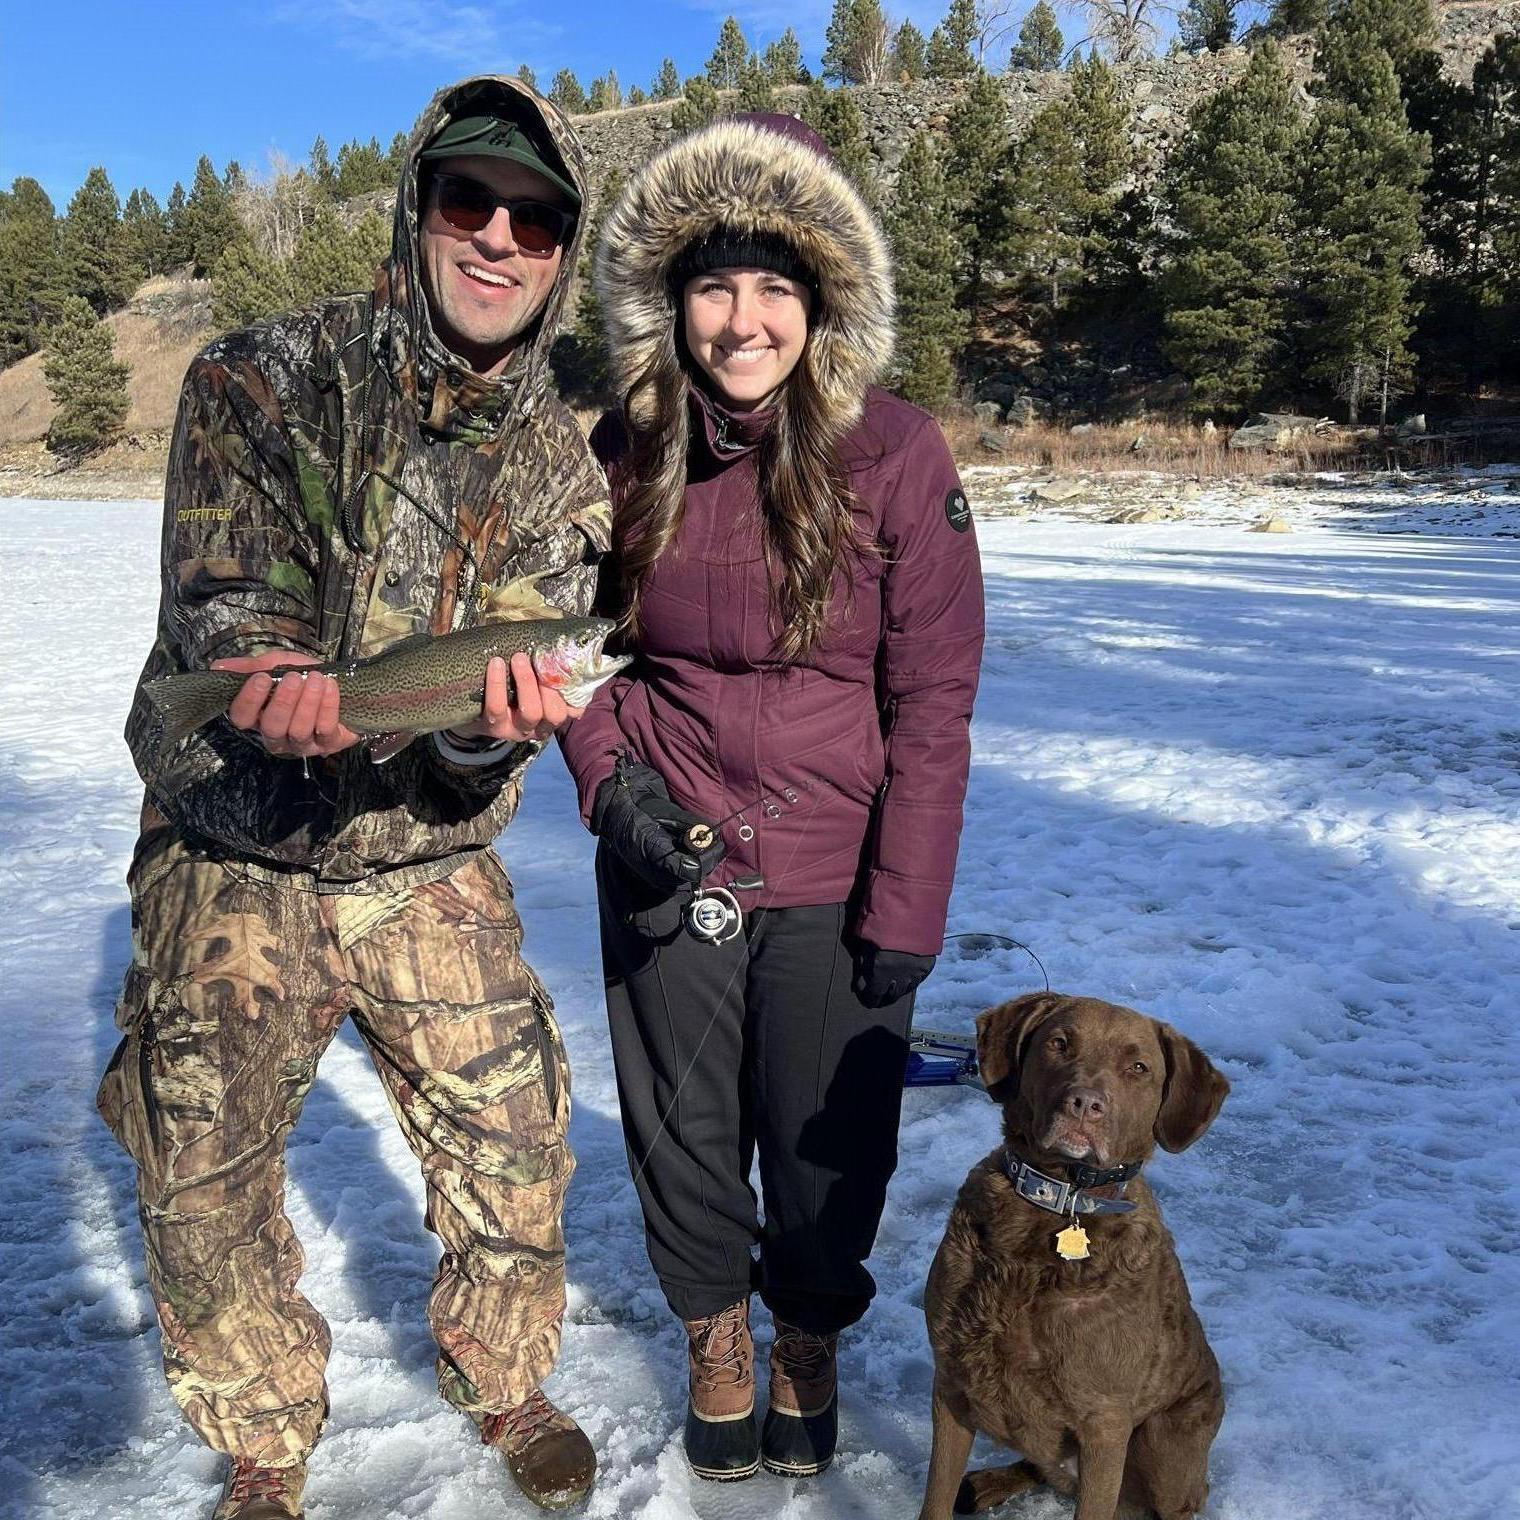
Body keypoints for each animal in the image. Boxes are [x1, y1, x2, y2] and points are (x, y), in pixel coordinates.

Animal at [912, 991, 1234, 1520]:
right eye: (1059, 1044)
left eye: (1139, 1067)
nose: (1085, 1104)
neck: (1059, 1201)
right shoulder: (951, 1379)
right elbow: (936, 1493)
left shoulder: (1105, 1422)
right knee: (1043, 1466)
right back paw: (987, 1483)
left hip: (1165, 1441)